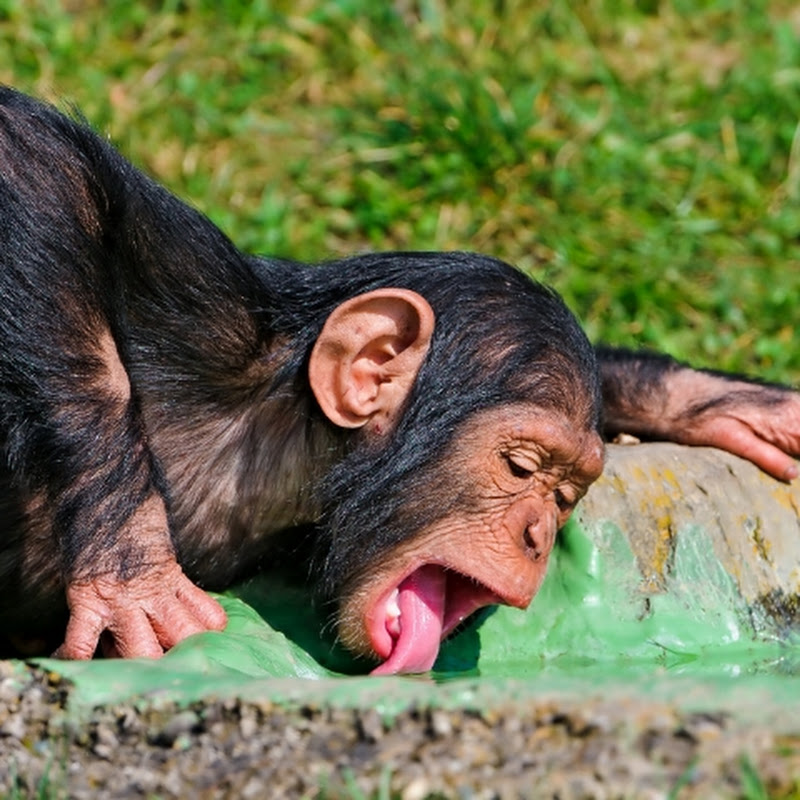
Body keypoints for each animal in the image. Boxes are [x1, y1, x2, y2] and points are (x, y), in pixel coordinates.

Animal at [1, 87, 799, 674]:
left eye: (566, 495)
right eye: (521, 467)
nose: (540, 534)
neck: (288, 443)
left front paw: (729, 403)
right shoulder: (204, 315)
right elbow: (36, 160)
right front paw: (131, 572)